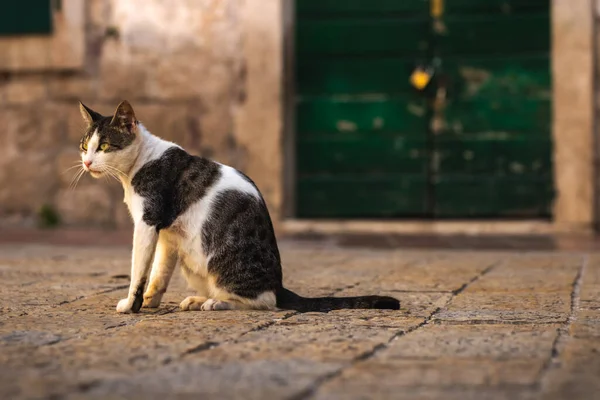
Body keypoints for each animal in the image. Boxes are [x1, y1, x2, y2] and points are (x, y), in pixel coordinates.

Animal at [77, 100, 400, 312]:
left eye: (104, 146)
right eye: (84, 146)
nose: (87, 162)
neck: (138, 166)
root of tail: (278, 285)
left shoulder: (147, 220)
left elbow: (139, 269)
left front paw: (130, 305)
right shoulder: (167, 234)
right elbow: (159, 272)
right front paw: (150, 303)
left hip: (220, 261)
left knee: (264, 301)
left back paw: (216, 303)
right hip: (189, 257)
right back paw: (200, 299)